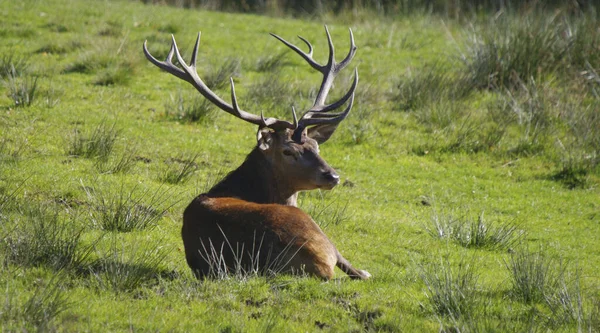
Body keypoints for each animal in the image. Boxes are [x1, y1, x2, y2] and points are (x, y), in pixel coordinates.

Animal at [145, 26, 370, 280]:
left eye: (316, 146)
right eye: (287, 152)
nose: (332, 176)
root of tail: (322, 266)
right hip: (315, 229)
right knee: (355, 270)